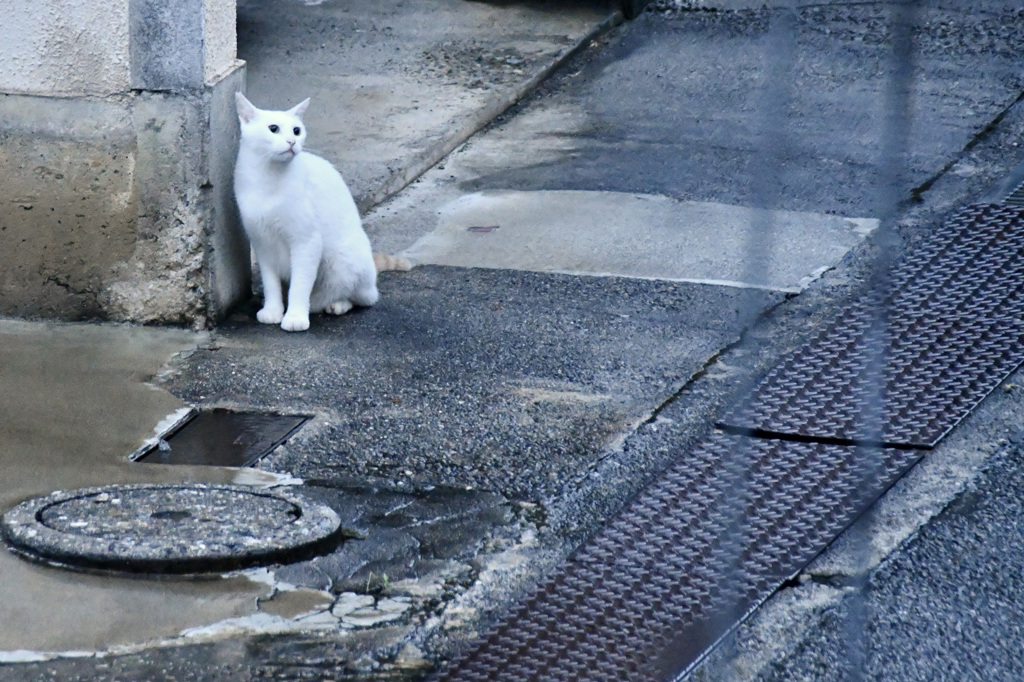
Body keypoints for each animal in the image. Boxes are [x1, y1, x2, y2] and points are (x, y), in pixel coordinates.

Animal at [234, 93, 382, 331]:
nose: (292, 142)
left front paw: (295, 317)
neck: (267, 178)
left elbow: (300, 284)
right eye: (273, 128)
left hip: (342, 260)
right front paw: (272, 310)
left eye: (296, 130)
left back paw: (334, 304)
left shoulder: (307, 241)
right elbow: (270, 282)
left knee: (358, 296)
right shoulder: (262, 242)